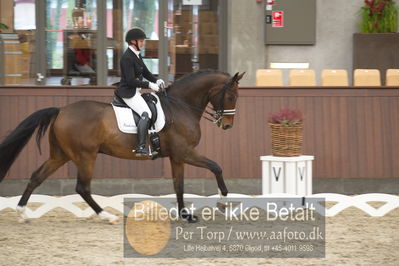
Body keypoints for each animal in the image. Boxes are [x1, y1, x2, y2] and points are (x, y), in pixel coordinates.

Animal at [0, 69, 245, 223]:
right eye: (231, 96)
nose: (227, 125)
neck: (181, 107)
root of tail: (60, 111)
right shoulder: (185, 152)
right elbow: (216, 167)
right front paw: (223, 202)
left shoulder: (177, 157)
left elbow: (179, 186)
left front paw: (186, 215)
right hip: (85, 156)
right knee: (82, 188)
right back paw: (107, 217)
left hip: (60, 155)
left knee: (37, 177)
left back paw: (22, 213)